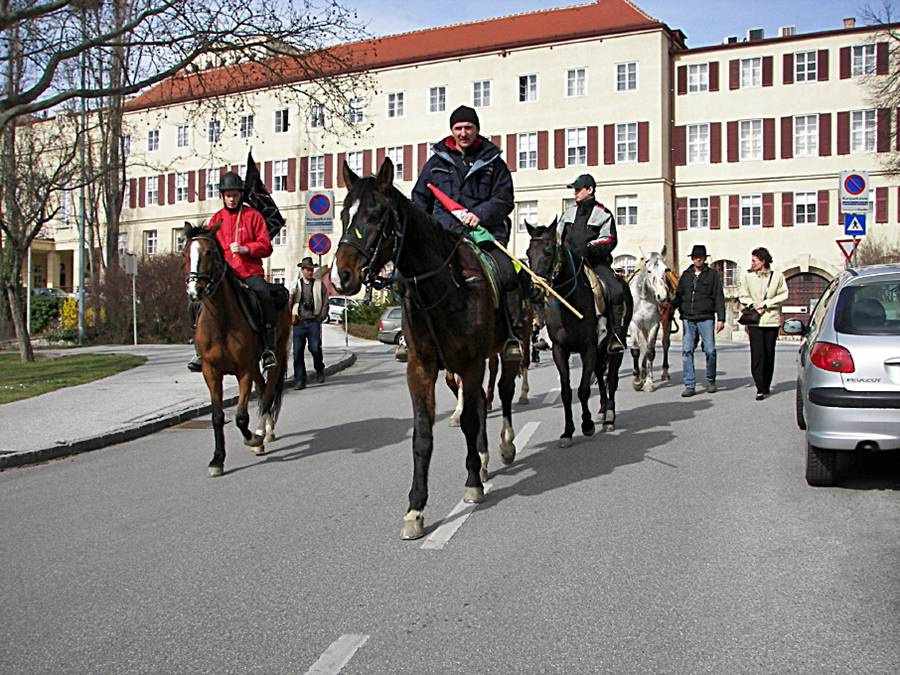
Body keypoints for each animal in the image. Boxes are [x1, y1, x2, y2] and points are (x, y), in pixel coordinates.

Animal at [185, 222, 290, 476]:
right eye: (186, 254)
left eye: (209, 252)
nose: (194, 291)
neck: (220, 320)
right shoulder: (211, 372)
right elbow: (217, 416)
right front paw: (217, 459)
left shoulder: (243, 370)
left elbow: (242, 416)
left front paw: (252, 439)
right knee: (262, 390)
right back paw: (265, 431)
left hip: (274, 357)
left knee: (268, 391)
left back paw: (261, 434)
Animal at [330, 157, 520, 540]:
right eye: (344, 213)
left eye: (376, 215)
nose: (341, 277)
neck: (442, 288)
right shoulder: (421, 368)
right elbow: (422, 436)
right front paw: (415, 508)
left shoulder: (472, 362)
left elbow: (471, 419)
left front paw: (472, 483)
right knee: (482, 401)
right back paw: (484, 458)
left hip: (502, 354)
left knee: (504, 395)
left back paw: (504, 446)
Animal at [628, 251, 672, 394]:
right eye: (649, 271)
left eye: (666, 270)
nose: (663, 296)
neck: (644, 298)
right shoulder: (634, 324)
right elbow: (636, 350)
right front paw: (637, 381)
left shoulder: (654, 324)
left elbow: (650, 352)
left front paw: (648, 382)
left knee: (664, 344)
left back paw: (663, 373)